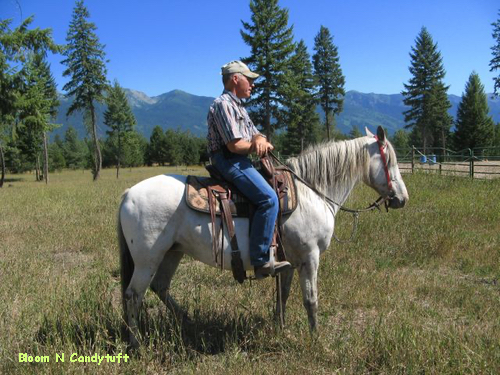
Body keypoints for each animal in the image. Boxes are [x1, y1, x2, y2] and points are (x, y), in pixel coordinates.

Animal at [119, 127, 408, 346]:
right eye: (390, 162)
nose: (402, 199)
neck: (311, 192)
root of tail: (128, 193)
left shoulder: (291, 261)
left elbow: (284, 295)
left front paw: (280, 328)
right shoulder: (311, 257)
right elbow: (311, 299)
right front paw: (316, 339)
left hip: (172, 252)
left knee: (160, 287)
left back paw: (188, 322)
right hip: (148, 259)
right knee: (133, 295)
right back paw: (136, 343)